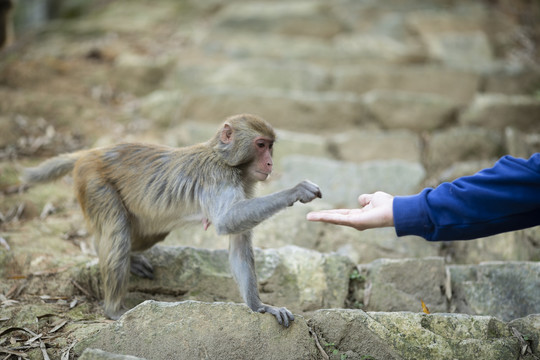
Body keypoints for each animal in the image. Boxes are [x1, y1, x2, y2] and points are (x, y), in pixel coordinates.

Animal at [23, 113, 320, 326]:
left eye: (270, 147)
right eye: (260, 145)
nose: (270, 164)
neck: (226, 160)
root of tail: (89, 152)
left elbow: (237, 242)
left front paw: (260, 307)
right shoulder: (217, 175)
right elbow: (227, 220)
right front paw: (296, 191)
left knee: (145, 233)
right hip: (94, 182)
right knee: (117, 232)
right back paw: (114, 310)